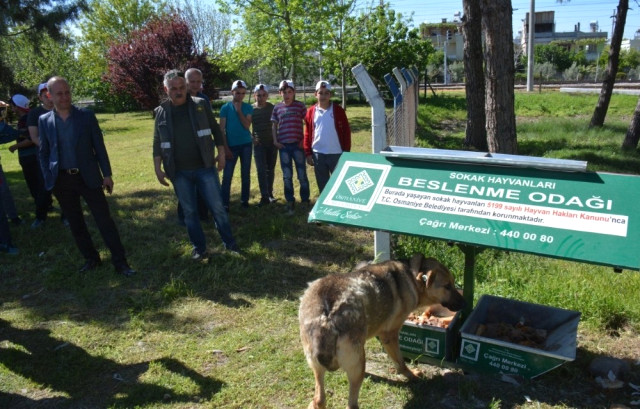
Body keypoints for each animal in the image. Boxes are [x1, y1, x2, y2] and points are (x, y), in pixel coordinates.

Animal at [298, 253, 462, 406]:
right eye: (447, 286)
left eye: (453, 283)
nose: (465, 303)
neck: (411, 276)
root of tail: (327, 316)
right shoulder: (390, 335)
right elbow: (401, 363)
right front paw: (413, 376)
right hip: (357, 364)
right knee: (351, 404)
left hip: (319, 366)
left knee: (319, 400)